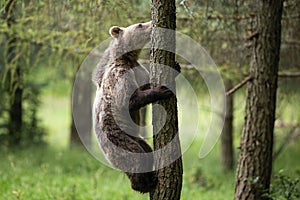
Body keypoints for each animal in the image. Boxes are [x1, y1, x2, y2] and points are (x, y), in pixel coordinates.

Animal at [92, 21, 176, 193]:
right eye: (140, 25)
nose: (151, 24)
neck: (127, 59)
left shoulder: (138, 70)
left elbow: (145, 83)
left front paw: (176, 67)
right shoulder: (119, 77)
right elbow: (130, 100)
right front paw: (162, 90)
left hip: (135, 137)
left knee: (147, 151)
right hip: (117, 139)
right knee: (135, 158)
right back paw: (143, 184)